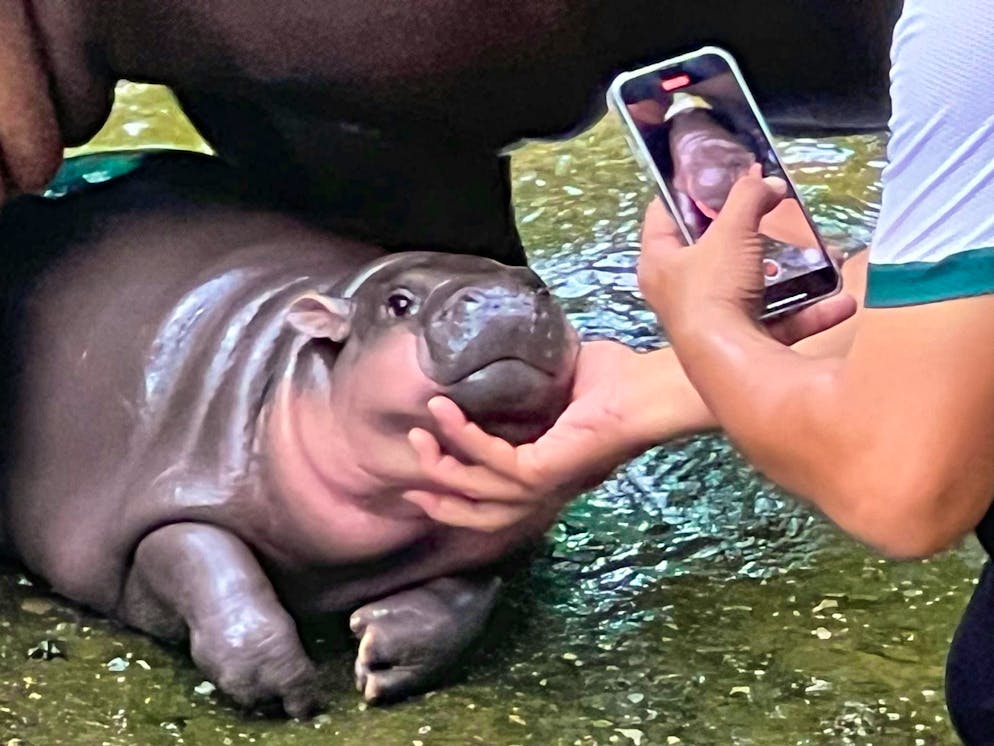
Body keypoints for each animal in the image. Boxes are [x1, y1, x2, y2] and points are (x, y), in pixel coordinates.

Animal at [0, 152, 579, 715]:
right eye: (399, 302)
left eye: (537, 285)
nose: (503, 300)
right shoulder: (175, 488)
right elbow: (210, 565)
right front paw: (286, 695)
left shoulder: (493, 536)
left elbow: (468, 594)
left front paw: (383, 656)